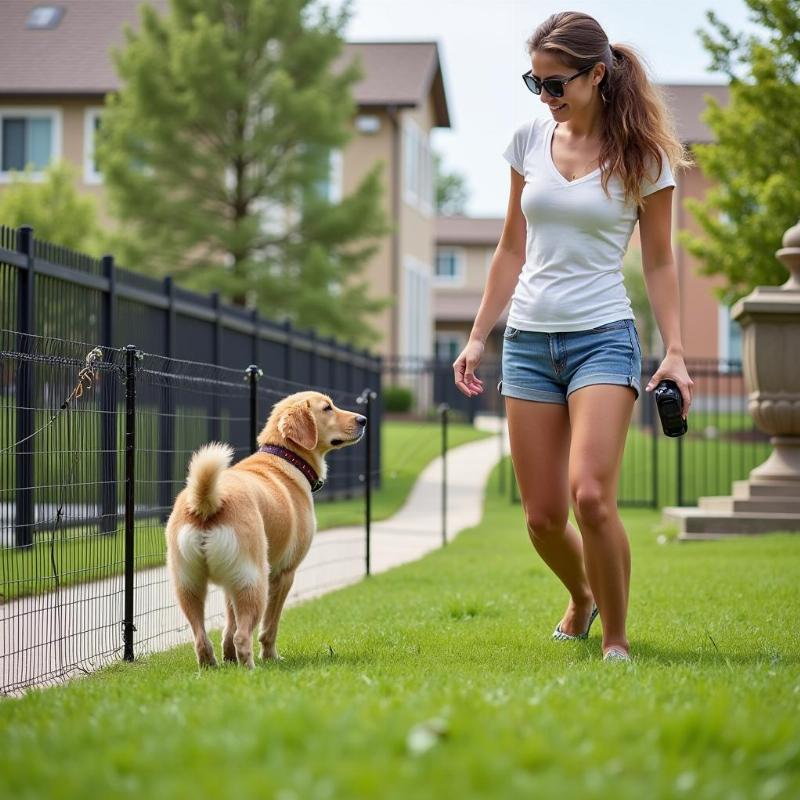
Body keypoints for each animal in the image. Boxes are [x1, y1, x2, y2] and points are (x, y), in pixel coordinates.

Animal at [164, 392, 368, 668]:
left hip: (189, 585)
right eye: (327, 408)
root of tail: (206, 501)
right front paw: (270, 656)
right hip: (255, 582)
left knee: (202, 638)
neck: (284, 457)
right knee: (243, 635)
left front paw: (229, 658)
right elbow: (269, 627)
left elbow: (229, 624)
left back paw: (213, 667)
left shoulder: (231, 583)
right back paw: (251, 669)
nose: (363, 419)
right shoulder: (284, 574)